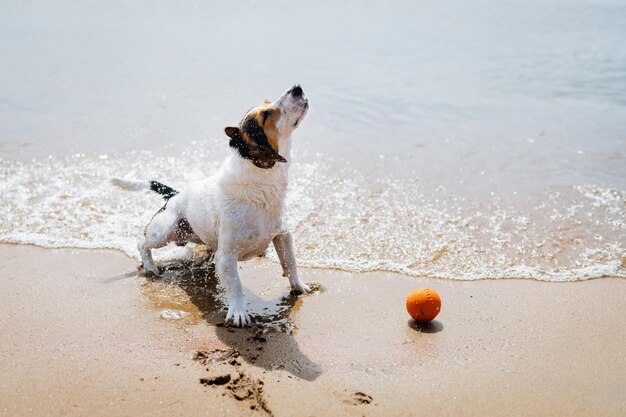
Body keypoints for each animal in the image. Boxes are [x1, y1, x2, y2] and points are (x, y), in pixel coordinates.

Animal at [111, 84, 310, 324]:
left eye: (266, 104)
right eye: (266, 114)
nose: (297, 87)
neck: (262, 183)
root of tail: (174, 195)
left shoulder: (283, 236)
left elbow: (291, 263)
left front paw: (299, 287)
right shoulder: (227, 256)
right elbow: (236, 284)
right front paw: (238, 312)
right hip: (165, 231)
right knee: (142, 243)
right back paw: (150, 267)